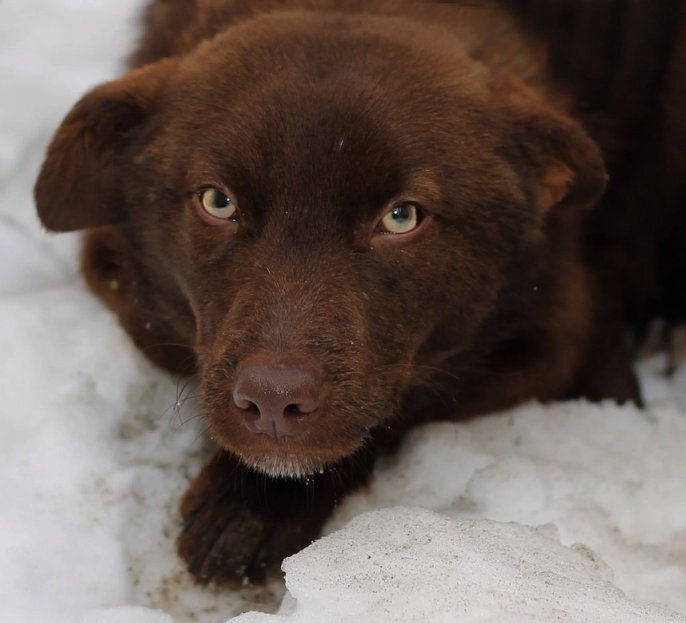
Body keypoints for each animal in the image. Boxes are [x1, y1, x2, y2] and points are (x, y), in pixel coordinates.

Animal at [35, 0, 684, 584]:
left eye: (402, 216)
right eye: (217, 201)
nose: (274, 400)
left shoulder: (553, 327)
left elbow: (409, 397)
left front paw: (254, 508)